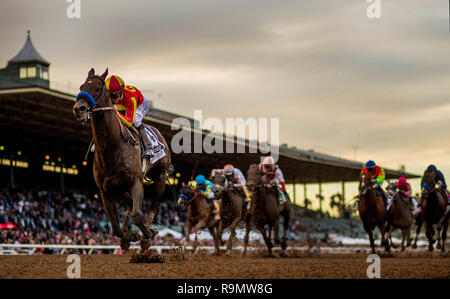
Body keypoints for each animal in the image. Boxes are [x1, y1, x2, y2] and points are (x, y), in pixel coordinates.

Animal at [72, 68, 171, 251]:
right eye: (82, 87)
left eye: (98, 88)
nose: (79, 109)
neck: (113, 147)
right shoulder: (105, 191)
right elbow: (115, 227)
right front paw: (130, 236)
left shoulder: (136, 182)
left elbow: (138, 215)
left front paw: (148, 235)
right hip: (122, 187)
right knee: (130, 207)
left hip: (160, 176)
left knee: (153, 206)